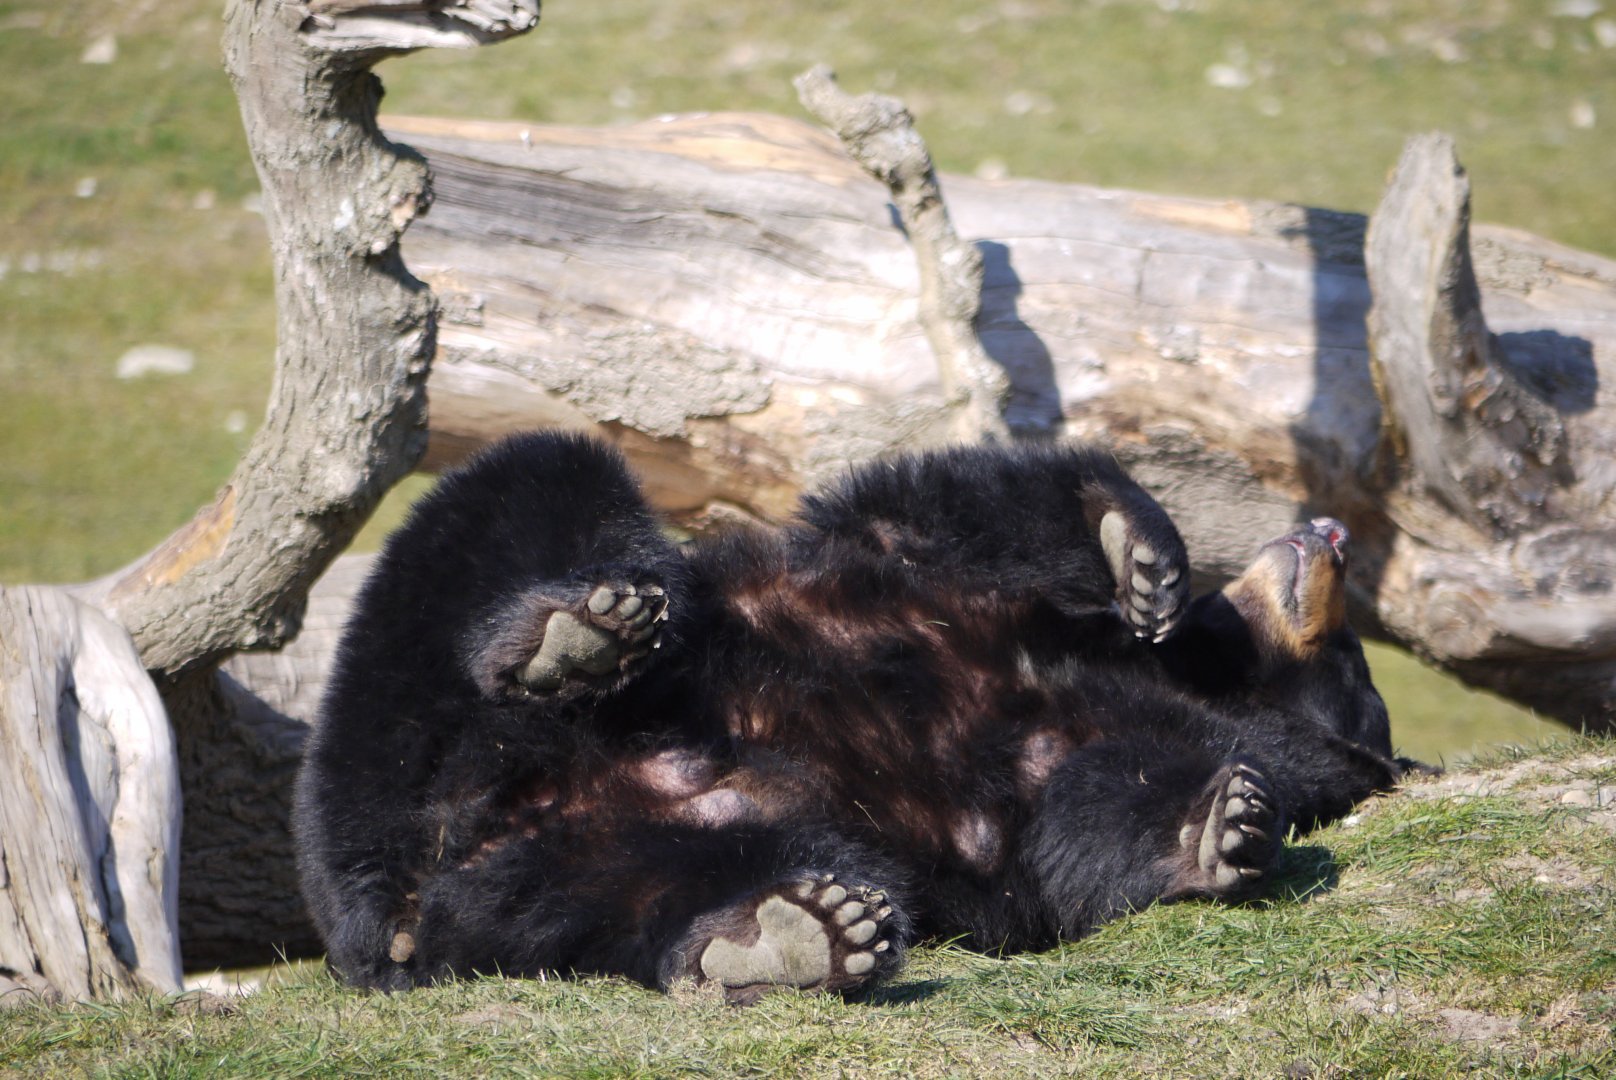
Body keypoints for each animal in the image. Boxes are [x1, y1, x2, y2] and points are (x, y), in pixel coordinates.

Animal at [293, 431, 1406, 1003]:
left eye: (1351, 663)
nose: (1329, 530)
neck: (1196, 672)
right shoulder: (936, 577)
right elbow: (945, 509)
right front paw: (1135, 548)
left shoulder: (1109, 731)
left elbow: (1085, 809)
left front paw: (1225, 825)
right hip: (411, 705)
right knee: (530, 490)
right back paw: (568, 636)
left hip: (619, 863)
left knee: (655, 895)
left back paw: (794, 935)